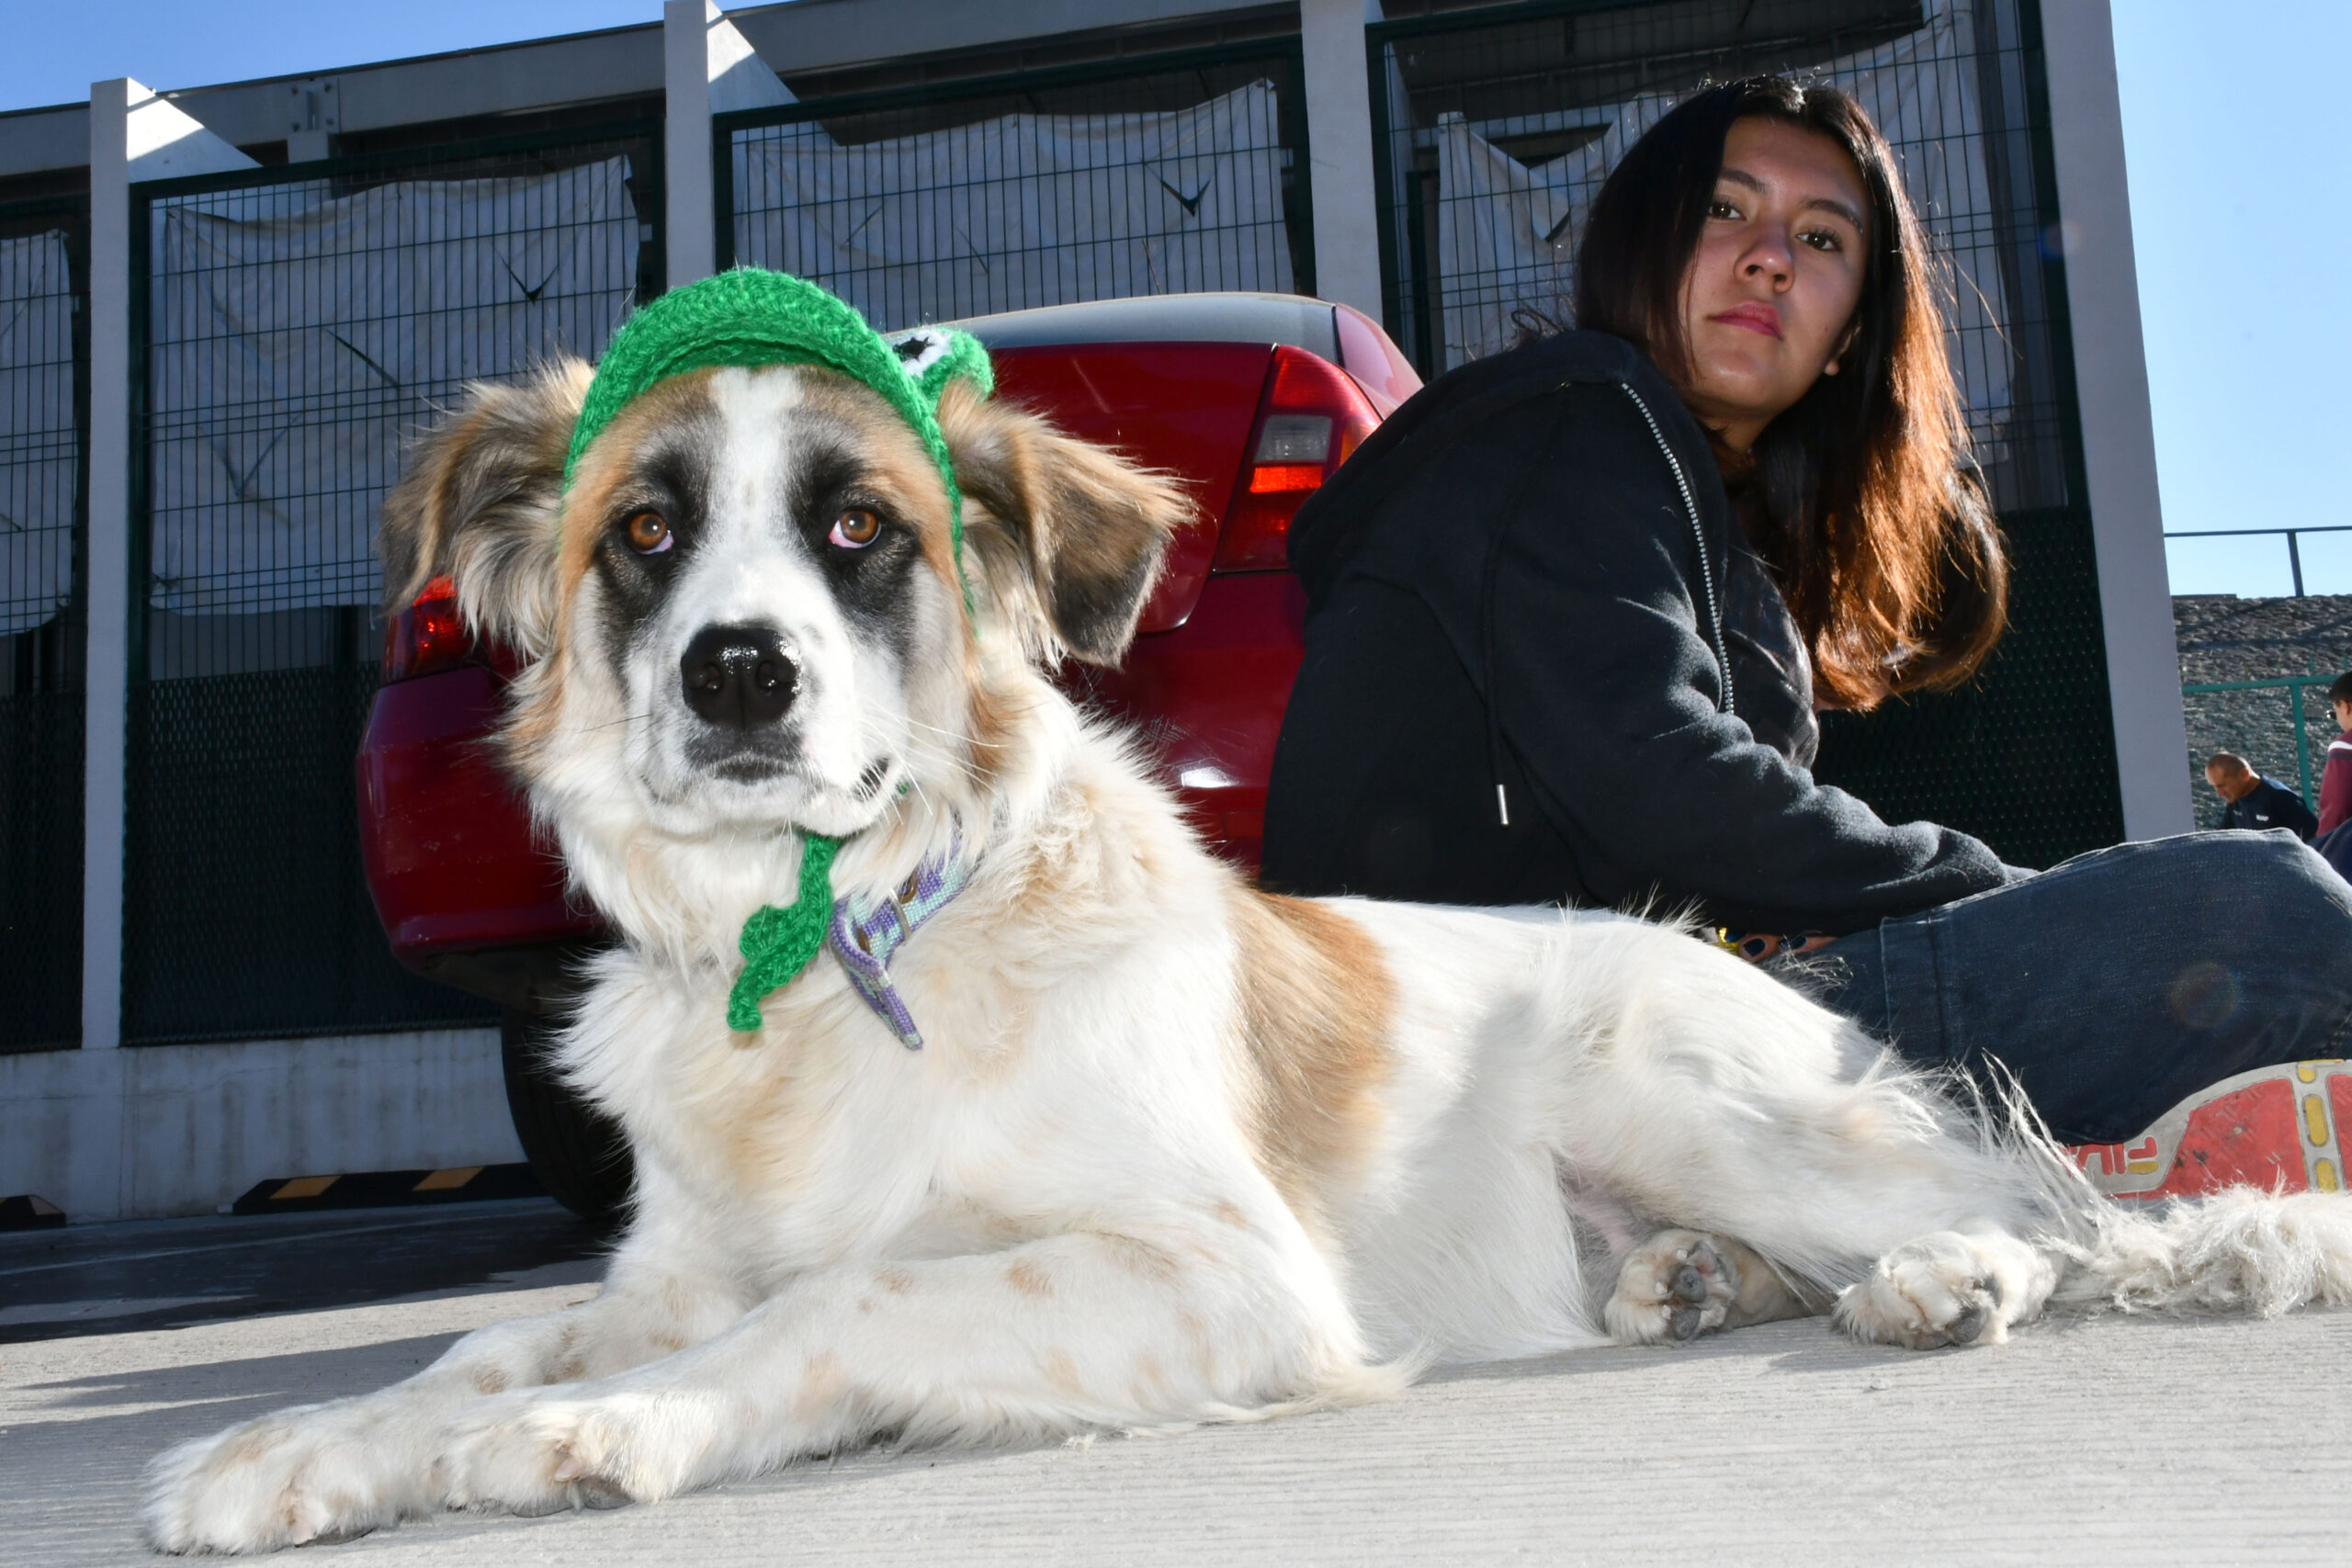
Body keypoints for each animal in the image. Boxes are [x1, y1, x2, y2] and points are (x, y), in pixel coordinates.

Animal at [147, 333, 2352, 1561]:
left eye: (861, 529)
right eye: (643, 534)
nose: (736, 674)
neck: (830, 951)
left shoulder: (1227, 1273)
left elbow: (844, 1301)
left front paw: (601, 1431)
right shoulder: (671, 1266)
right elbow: (483, 1339)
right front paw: (306, 1446)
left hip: (1678, 1090)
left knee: (2036, 1219)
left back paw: (1928, 1279)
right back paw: (1684, 1287)